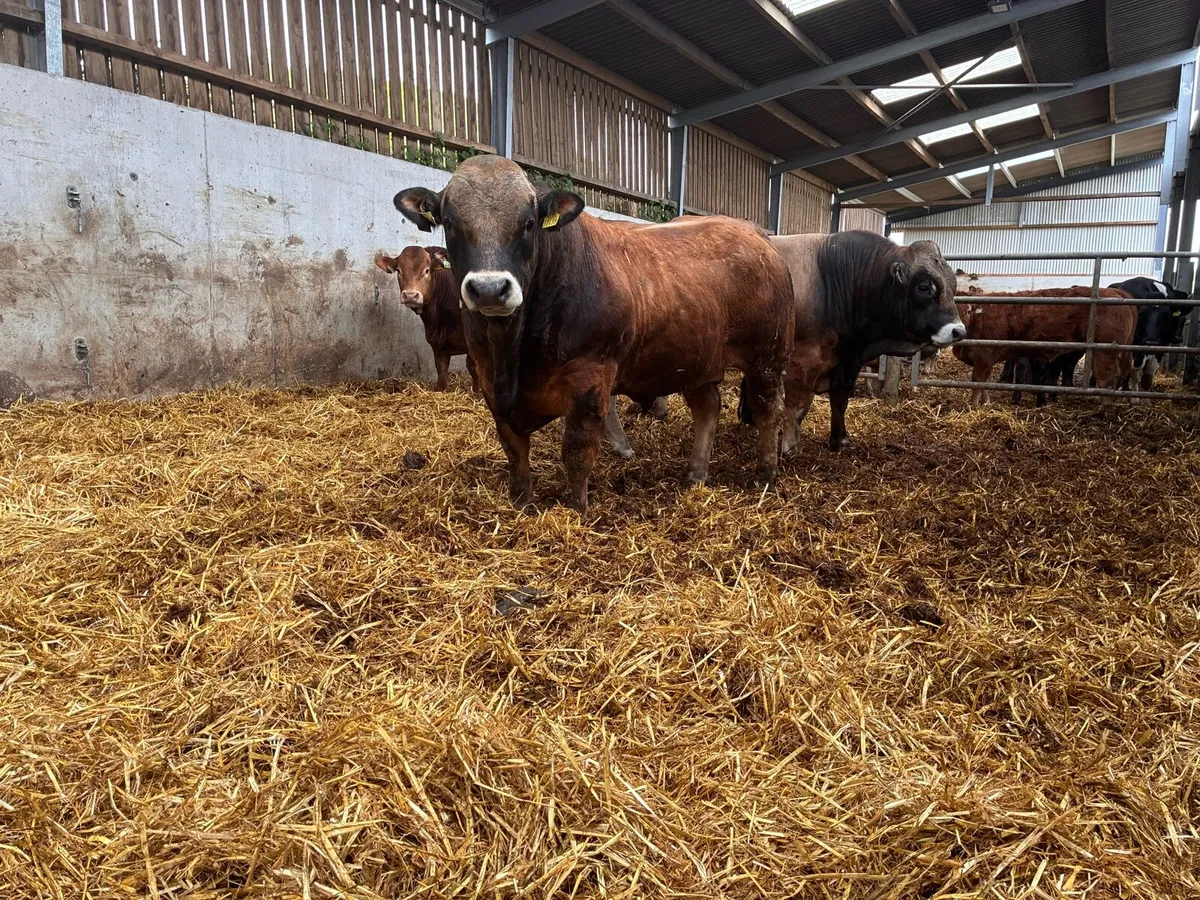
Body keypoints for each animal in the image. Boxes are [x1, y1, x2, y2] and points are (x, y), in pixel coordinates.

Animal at [392, 155, 794, 514]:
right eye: (450, 222)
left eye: (528, 223)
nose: (490, 289)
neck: (513, 352)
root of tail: (757, 236)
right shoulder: (489, 380)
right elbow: (514, 449)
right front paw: (521, 501)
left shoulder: (590, 376)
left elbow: (577, 449)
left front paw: (576, 508)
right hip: (695, 360)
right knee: (707, 409)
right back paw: (696, 474)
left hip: (767, 356)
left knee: (768, 410)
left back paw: (766, 472)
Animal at [738, 231, 964, 453]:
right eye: (924, 287)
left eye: (953, 287)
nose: (958, 331)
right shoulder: (801, 363)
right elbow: (797, 405)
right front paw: (789, 446)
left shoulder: (847, 362)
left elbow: (840, 401)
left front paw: (840, 440)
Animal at [954, 287, 1136, 406]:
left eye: (968, 311)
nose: (957, 329)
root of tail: (1114, 293)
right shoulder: (987, 361)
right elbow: (987, 383)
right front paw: (986, 404)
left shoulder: (983, 358)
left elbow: (977, 383)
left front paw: (974, 407)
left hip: (1104, 351)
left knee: (1108, 377)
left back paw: (1104, 407)